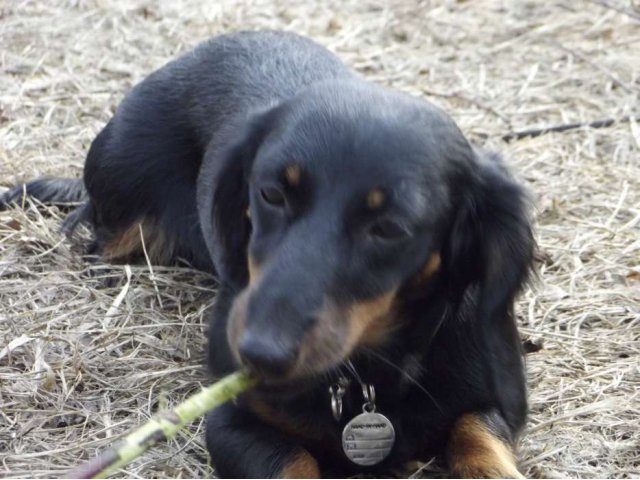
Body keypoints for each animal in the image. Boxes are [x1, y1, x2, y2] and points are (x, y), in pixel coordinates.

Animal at [2, 31, 536, 480]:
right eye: (270, 194)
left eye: (389, 228)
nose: (257, 353)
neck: (368, 377)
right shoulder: (233, 423)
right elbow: (291, 463)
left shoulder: (485, 400)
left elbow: (478, 436)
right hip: (123, 206)